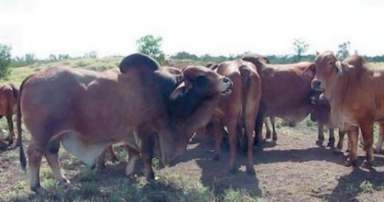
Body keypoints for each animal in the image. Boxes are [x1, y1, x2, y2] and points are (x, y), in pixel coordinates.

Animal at [17, 52, 231, 192]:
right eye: (202, 77)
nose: (227, 81)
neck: (164, 93)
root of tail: (34, 76)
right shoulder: (145, 130)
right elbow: (146, 155)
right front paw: (151, 177)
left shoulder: (134, 131)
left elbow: (134, 153)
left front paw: (129, 173)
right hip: (41, 134)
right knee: (35, 155)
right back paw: (36, 186)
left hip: (56, 134)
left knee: (51, 153)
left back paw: (62, 180)